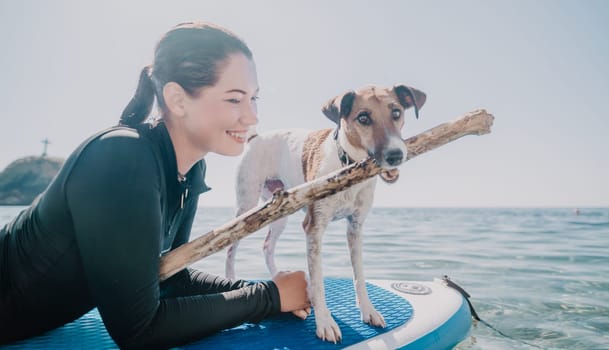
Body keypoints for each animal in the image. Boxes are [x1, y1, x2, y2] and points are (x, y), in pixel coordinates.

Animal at [226, 84, 426, 342]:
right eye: (363, 118)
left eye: (396, 112)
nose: (395, 155)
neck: (348, 166)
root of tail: (255, 137)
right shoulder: (314, 227)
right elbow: (319, 281)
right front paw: (325, 322)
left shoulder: (355, 228)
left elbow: (359, 275)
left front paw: (368, 310)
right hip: (247, 210)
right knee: (231, 249)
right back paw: (231, 279)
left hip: (278, 211)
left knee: (267, 246)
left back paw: (280, 277)